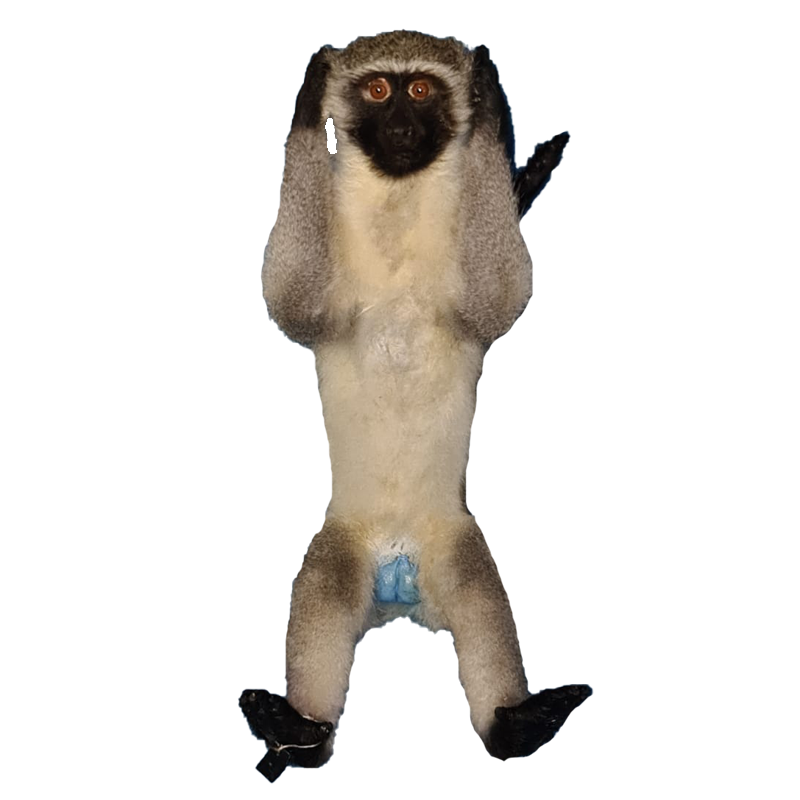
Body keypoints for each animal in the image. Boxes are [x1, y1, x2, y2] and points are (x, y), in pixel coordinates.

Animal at [240, 31, 588, 782]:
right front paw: (307, 105)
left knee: (477, 597)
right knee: (325, 591)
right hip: (349, 541)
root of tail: (398, 572)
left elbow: (494, 302)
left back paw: (513, 726)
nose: (401, 126)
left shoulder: (469, 280)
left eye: (421, 90)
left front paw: (494, 114)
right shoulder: (326, 285)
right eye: (378, 91)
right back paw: (295, 730)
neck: (397, 211)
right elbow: (293, 303)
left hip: (446, 543)